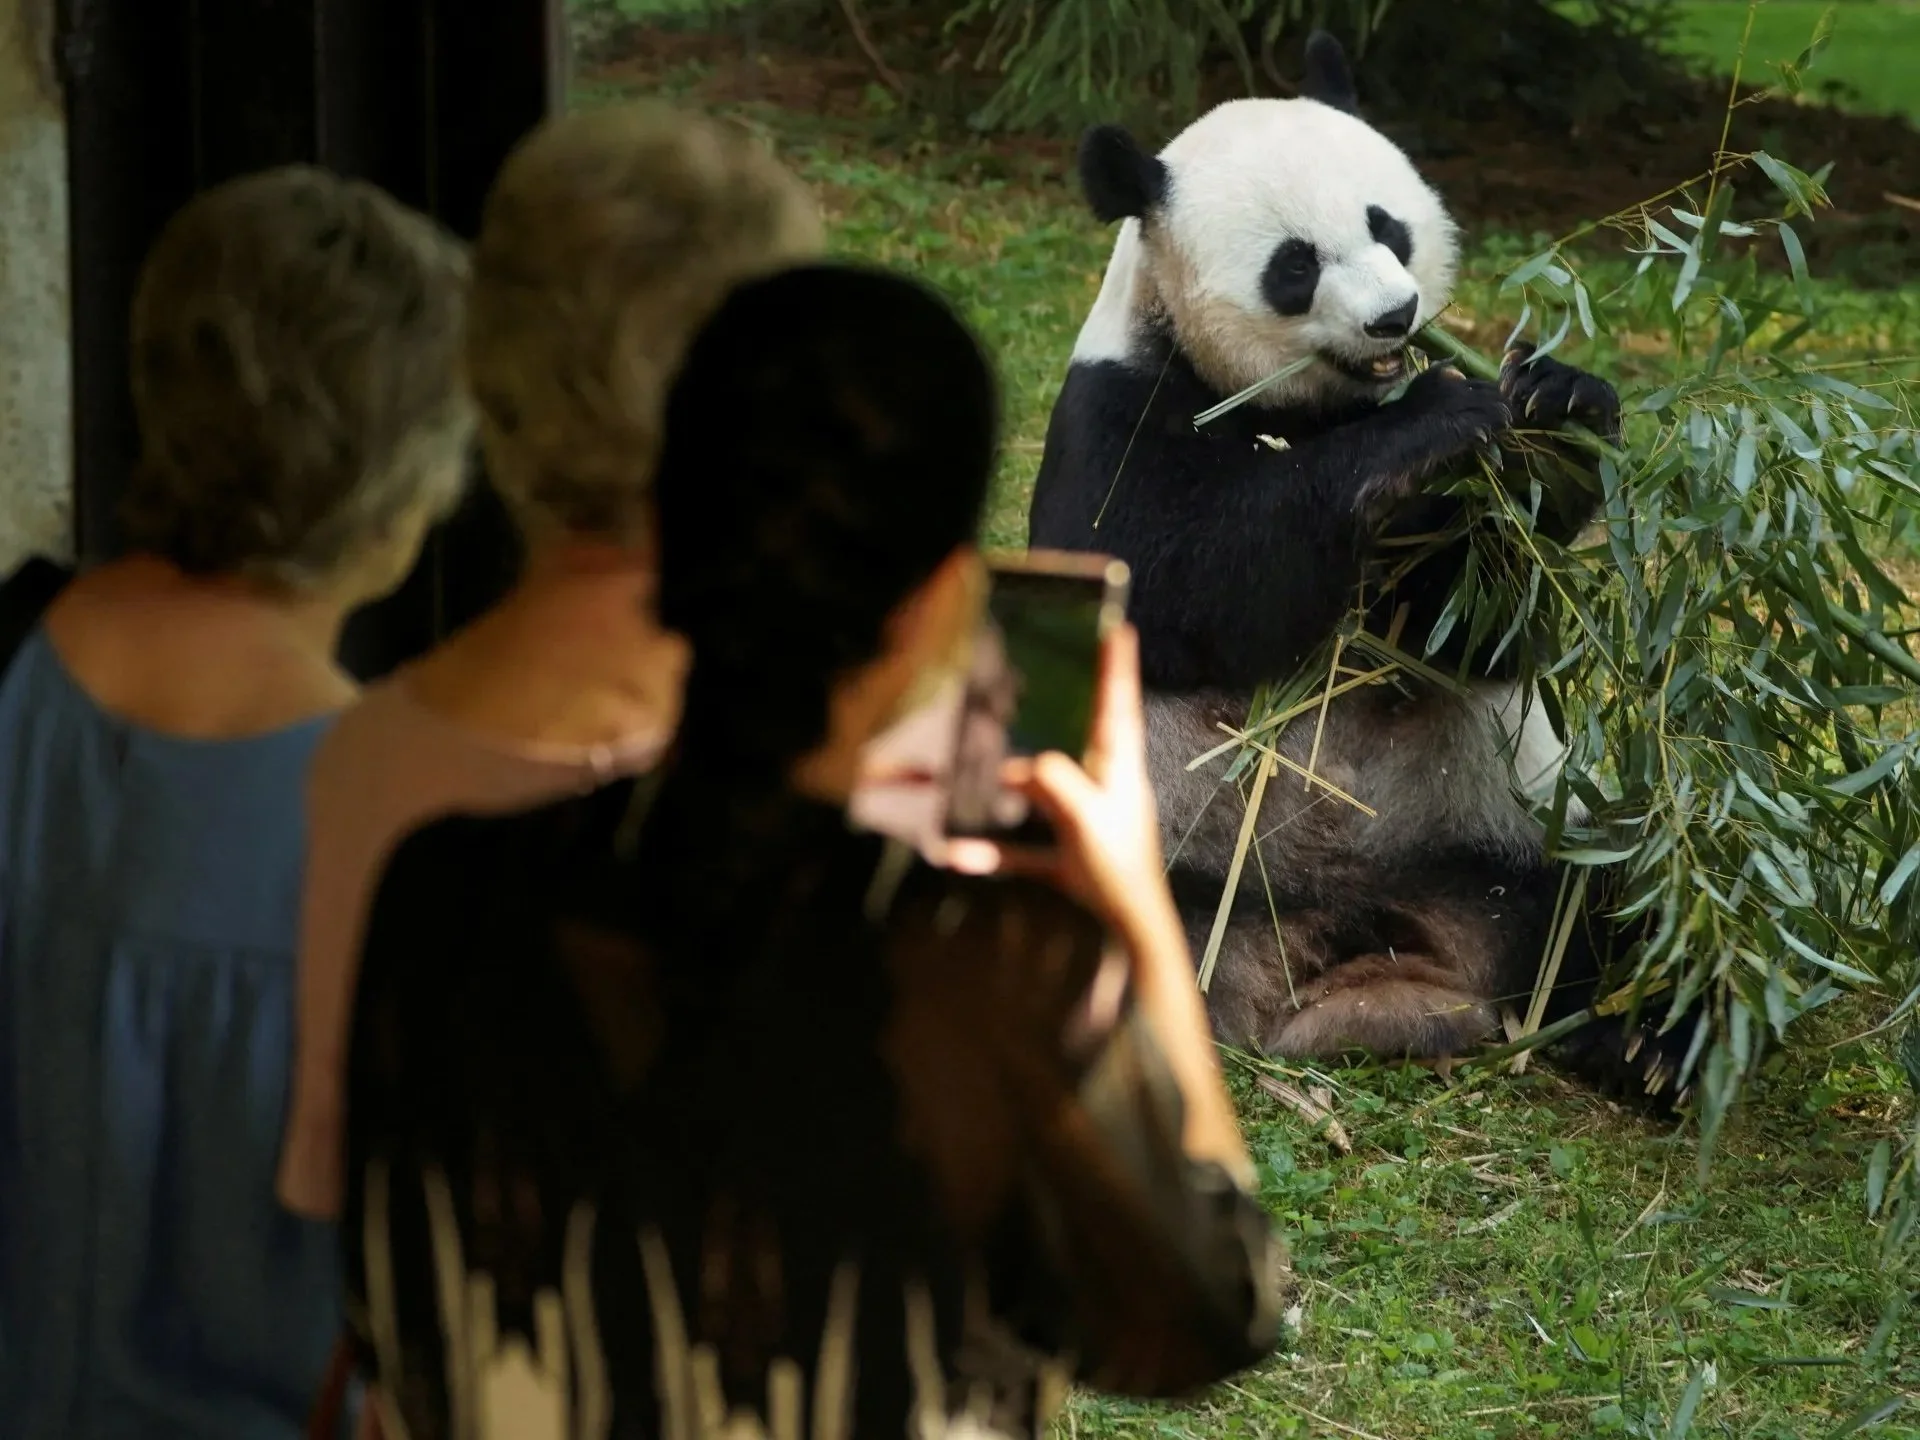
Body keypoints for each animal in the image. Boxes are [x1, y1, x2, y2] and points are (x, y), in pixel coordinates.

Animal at [1026, 32, 1695, 1107]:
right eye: (1295, 265)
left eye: (1387, 224)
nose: (1397, 316)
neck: (1317, 407)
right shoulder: (1113, 415)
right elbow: (1181, 581)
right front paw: (1430, 418)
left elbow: (1469, 624)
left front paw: (1554, 405)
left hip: (1511, 825)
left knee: (1628, 888)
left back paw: (1645, 1041)